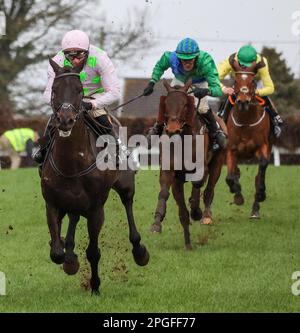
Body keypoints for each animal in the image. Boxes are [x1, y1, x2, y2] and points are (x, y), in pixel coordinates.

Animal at [41, 59, 149, 294]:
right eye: (54, 89)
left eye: (79, 90)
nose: (65, 120)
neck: (72, 164)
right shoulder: (52, 203)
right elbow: (56, 252)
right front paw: (69, 259)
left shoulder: (96, 208)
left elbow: (93, 252)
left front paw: (95, 287)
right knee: (73, 218)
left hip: (125, 184)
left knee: (128, 204)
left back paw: (139, 251)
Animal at [151, 79, 224, 248]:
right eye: (166, 104)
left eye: (185, 105)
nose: (172, 129)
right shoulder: (170, 172)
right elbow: (165, 194)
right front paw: (157, 222)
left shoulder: (202, 168)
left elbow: (198, 183)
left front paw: (196, 210)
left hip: (217, 164)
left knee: (209, 190)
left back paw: (205, 215)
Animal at [225, 61, 272, 219]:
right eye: (235, 81)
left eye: (253, 81)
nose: (243, 102)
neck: (245, 122)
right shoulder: (231, 150)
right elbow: (230, 177)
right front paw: (237, 195)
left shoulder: (262, 147)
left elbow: (262, 168)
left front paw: (261, 194)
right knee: (235, 172)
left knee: (258, 176)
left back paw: (255, 210)